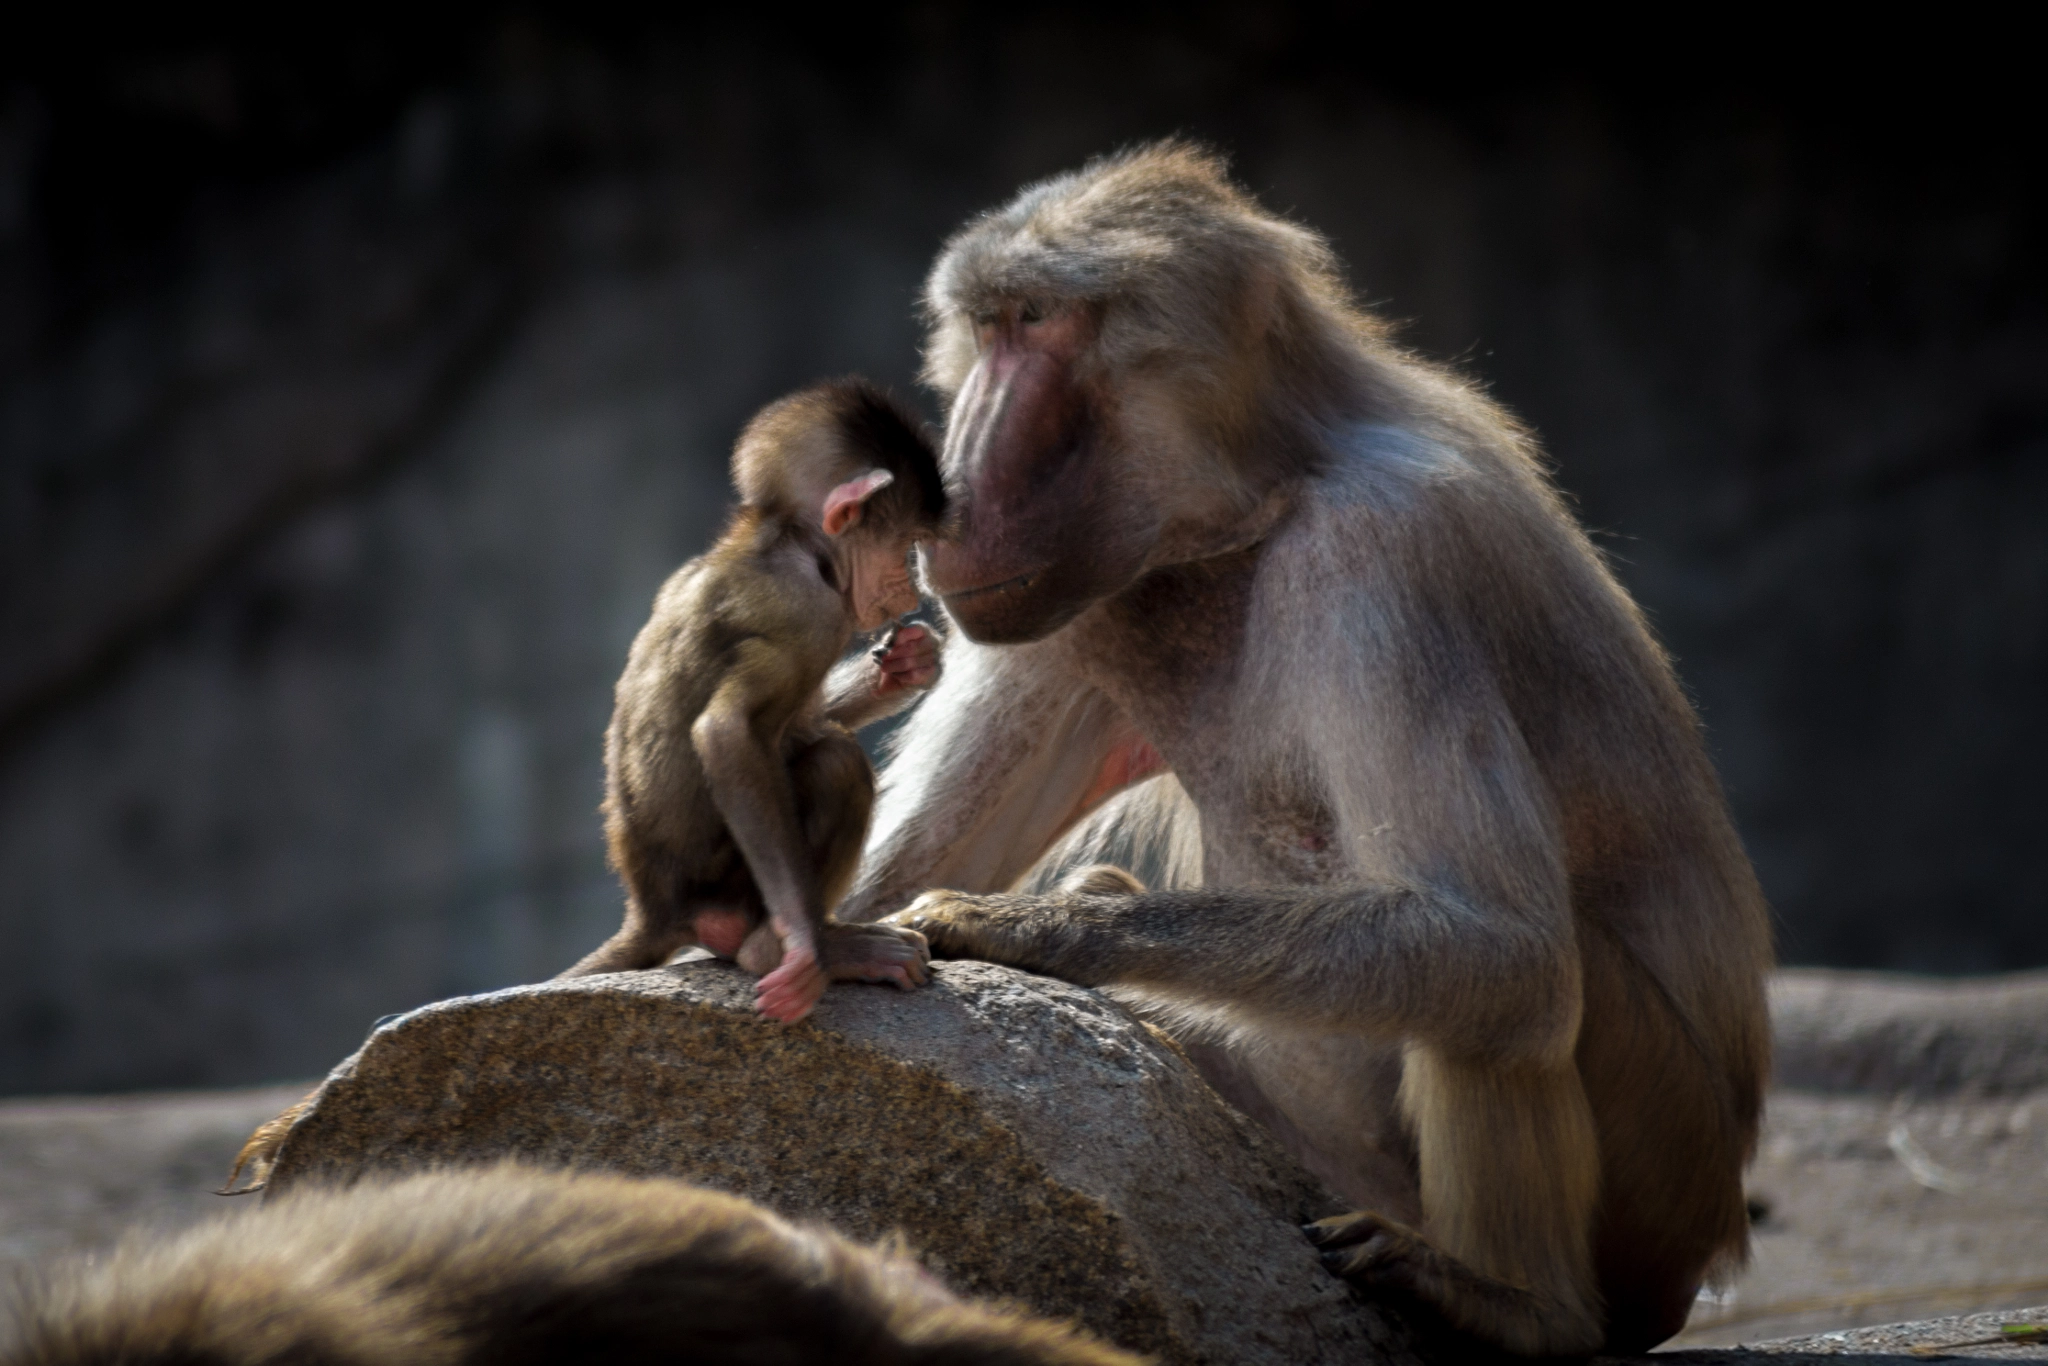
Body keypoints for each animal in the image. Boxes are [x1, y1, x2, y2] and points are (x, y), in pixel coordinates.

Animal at [563, 377, 945, 1024]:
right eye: (906, 545)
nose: (915, 584)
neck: (782, 539)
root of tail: (654, 910)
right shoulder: (807, 612)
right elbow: (731, 732)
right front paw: (800, 948)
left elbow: (800, 720)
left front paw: (907, 668)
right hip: (727, 889)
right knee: (835, 763)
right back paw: (792, 946)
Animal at [832, 143, 1773, 1356]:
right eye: (984, 325)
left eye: (1035, 323)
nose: (946, 498)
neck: (1262, 493)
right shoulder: (1070, 599)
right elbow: (883, 881)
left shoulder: (1380, 547)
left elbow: (1495, 936)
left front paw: (1028, 924)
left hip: (1658, 1165)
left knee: (1502, 982)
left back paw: (1517, 1305)